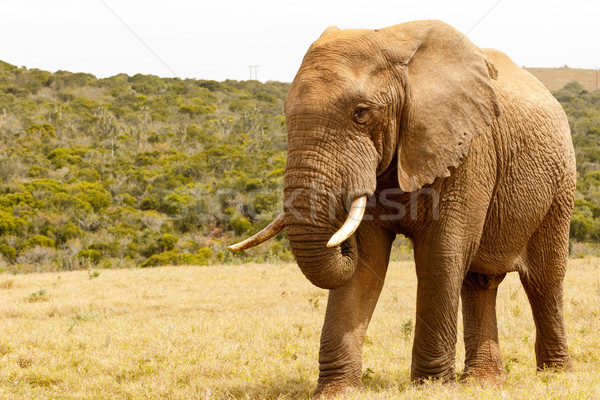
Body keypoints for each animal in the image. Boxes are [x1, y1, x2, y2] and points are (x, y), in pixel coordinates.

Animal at [230, 19, 576, 396]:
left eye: (360, 113)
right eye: (285, 114)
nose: (340, 242)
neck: (392, 43)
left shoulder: (468, 150)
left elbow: (441, 254)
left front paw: (432, 387)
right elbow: (368, 263)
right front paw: (336, 392)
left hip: (561, 184)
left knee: (544, 278)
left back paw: (556, 375)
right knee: (479, 281)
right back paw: (483, 381)